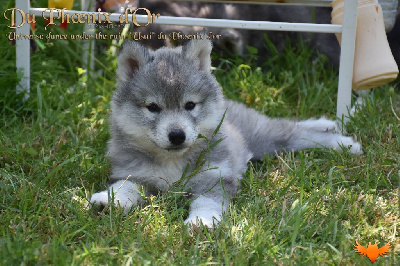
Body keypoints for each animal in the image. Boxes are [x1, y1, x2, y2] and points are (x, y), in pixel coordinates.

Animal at [90, 39, 362, 229]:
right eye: (153, 107)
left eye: (190, 105)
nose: (177, 135)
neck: (173, 162)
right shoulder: (136, 174)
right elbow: (124, 187)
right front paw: (108, 200)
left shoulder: (215, 179)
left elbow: (205, 202)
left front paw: (201, 221)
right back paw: (326, 124)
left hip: (266, 139)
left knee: (296, 132)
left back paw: (343, 142)